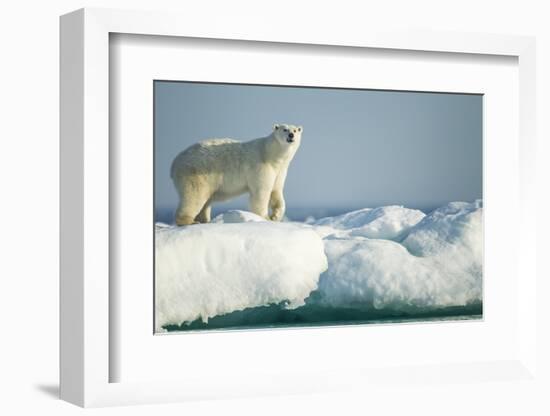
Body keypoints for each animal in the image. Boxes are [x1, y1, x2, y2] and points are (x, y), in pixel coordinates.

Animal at [170, 124, 304, 226]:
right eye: (284, 129)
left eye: (295, 130)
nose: (291, 135)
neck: (269, 153)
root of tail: (175, 163)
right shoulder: (261, 167)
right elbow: (261, 192)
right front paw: (265, 218)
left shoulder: (279, 171)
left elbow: (276, 191)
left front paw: (275, 216)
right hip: (195, 172)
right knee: (194, 196)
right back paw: (190, 221)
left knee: (205, 201)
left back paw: (204, 220)